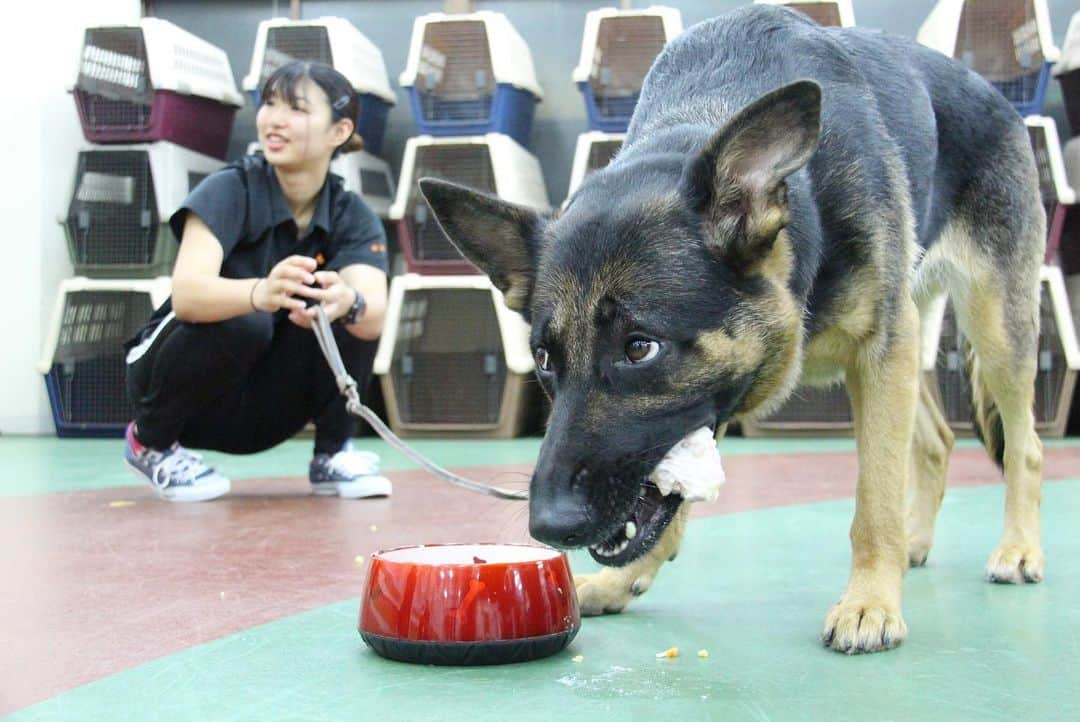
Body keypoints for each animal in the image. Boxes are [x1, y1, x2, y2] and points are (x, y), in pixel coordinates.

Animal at [416, 2, 1041, 651]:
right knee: (937, 440)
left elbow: (875, 495)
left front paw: (870, 601)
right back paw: (916, 540)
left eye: (640, 349)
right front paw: (624, 580)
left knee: (1026, 446)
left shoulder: (879, 353)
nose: (549, 525)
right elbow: (672, 495)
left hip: (994, 330)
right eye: (543, 359)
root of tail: (995, 95)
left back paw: (1018, 548)